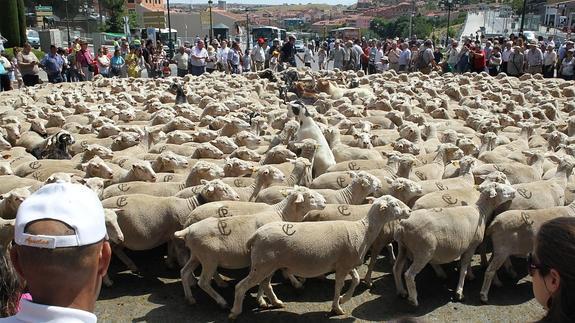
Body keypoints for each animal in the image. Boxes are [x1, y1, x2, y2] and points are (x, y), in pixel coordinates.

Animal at [172, 186, 328, 308]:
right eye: (310, 196)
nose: (325, 203)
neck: (282, 214)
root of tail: (188, 228)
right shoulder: (268, 256)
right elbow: (266, 278)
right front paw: (264, 299)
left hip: (197, 255)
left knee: (184, 272)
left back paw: (190, 298)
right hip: (208, 259)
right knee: (203, 282)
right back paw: (221, 301)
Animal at [227, 195, 412, 318]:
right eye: (394, 204)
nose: (410, 211)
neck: (363, 230)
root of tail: (255, 236)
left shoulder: (345, 263)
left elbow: (356, 279)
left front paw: (344, 299)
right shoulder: (343, 266)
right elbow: (338, 286)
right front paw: (337, 307)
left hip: (268, 265)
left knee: (265, 284)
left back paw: (276, 302)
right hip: (262, 265)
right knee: (241, 286)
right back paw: (235, 312)